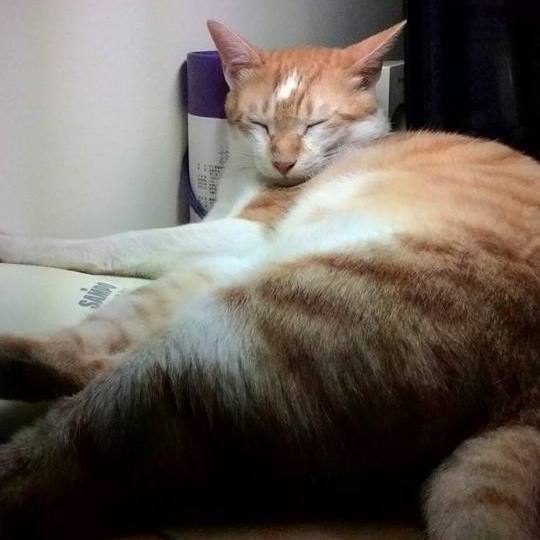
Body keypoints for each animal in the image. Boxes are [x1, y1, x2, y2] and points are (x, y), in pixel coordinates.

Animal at [0, 18, 539, 540]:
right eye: (259, 124)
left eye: (315, 124)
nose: (283, 161)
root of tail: (519, 396)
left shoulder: (246, 237)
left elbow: (120, 242)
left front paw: (20, 244)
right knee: (100, 362)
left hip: (235, 337)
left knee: (86, 415)